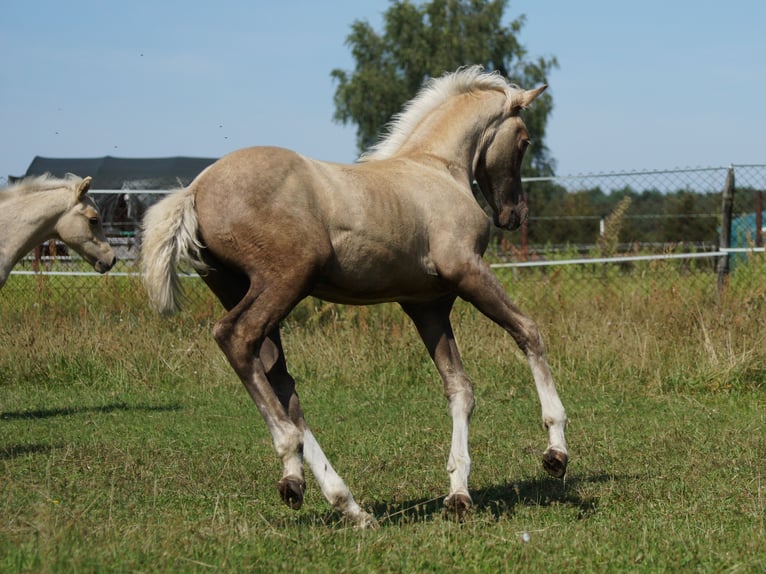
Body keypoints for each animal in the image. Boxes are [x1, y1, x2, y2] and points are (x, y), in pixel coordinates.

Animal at [140, 65, 568, 528]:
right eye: (524, 140)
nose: (515, 214)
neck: (438, 168)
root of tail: (195, 190)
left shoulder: (427, 305)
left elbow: (460, 388)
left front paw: (458, 492)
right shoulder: (467, 271)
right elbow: (528, 331)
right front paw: (556, 452)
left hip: (240, 287)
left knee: (279, 378)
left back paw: (334, 498)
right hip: (286, 279)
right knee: (236, 338)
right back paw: (293, 452)